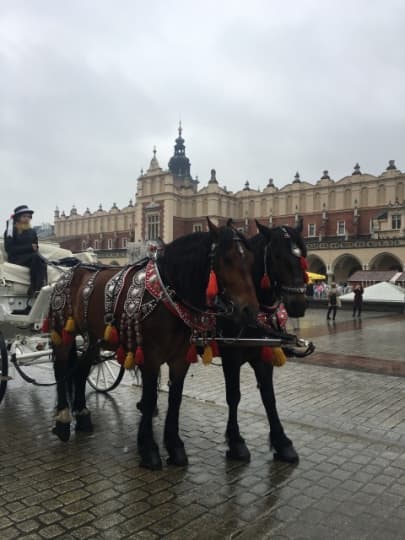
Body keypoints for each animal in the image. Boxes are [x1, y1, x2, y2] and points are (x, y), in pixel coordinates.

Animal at [49, 219, 260, 468]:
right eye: (226, 259)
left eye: (251, 259)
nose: (250, 311)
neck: (168, 295)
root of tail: (72, 269)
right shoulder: (149, 357)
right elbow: (149, 400)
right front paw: (148, 449)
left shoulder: (180, 359)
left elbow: (175, 399)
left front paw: (175, 447)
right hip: (63, 331)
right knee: (61, 369)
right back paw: (63, 421)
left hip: (94, 338)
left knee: (81, 371)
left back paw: (82, 417)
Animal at [219, 219, 308, 464]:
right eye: (277, 256)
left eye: (304, 255)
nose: (298, 304)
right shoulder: (230, 356)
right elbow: (233, 396)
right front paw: (236, 441)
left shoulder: (264, 355)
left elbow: (269, 397)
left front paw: (282, 442)